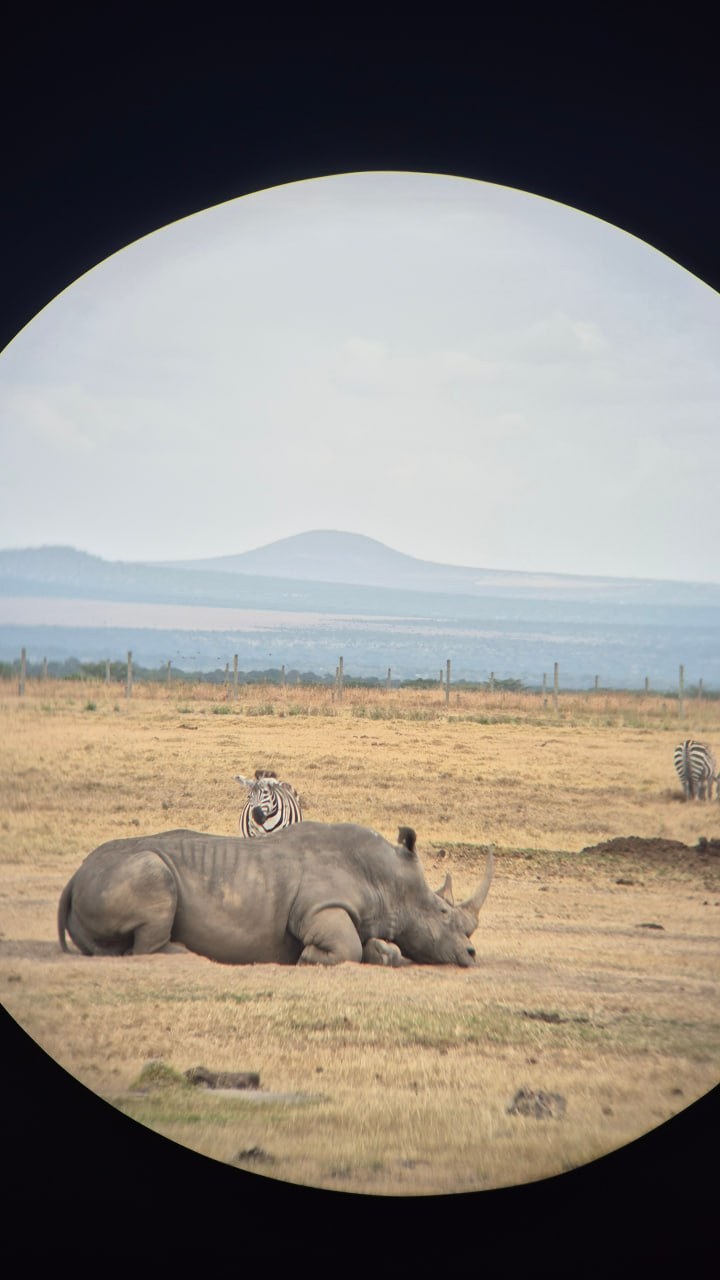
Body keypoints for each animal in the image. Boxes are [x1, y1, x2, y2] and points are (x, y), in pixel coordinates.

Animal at [57, 822, 494, 967]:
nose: (472, 954)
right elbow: (347, 946)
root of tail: (73, 877)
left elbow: (377, 947)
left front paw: (385, 954)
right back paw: (187, 955)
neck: (386, 881)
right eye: (441, 913)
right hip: (126, 871)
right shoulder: (319, 907)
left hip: (99, 879)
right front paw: (308, 957)